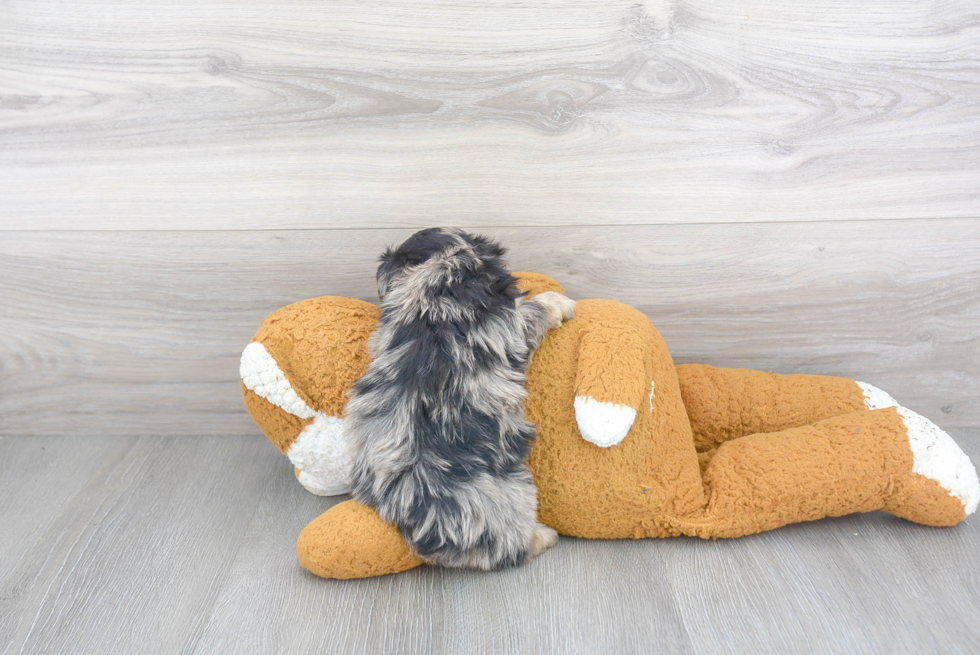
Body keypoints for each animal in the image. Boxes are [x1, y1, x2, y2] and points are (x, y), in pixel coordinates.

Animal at [344, 229, 576, 568]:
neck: (435, 282)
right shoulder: (513, 324)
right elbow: (532, 311)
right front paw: (557, 302)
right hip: (507, 498)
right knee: (504, 546)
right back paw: (542, 537)